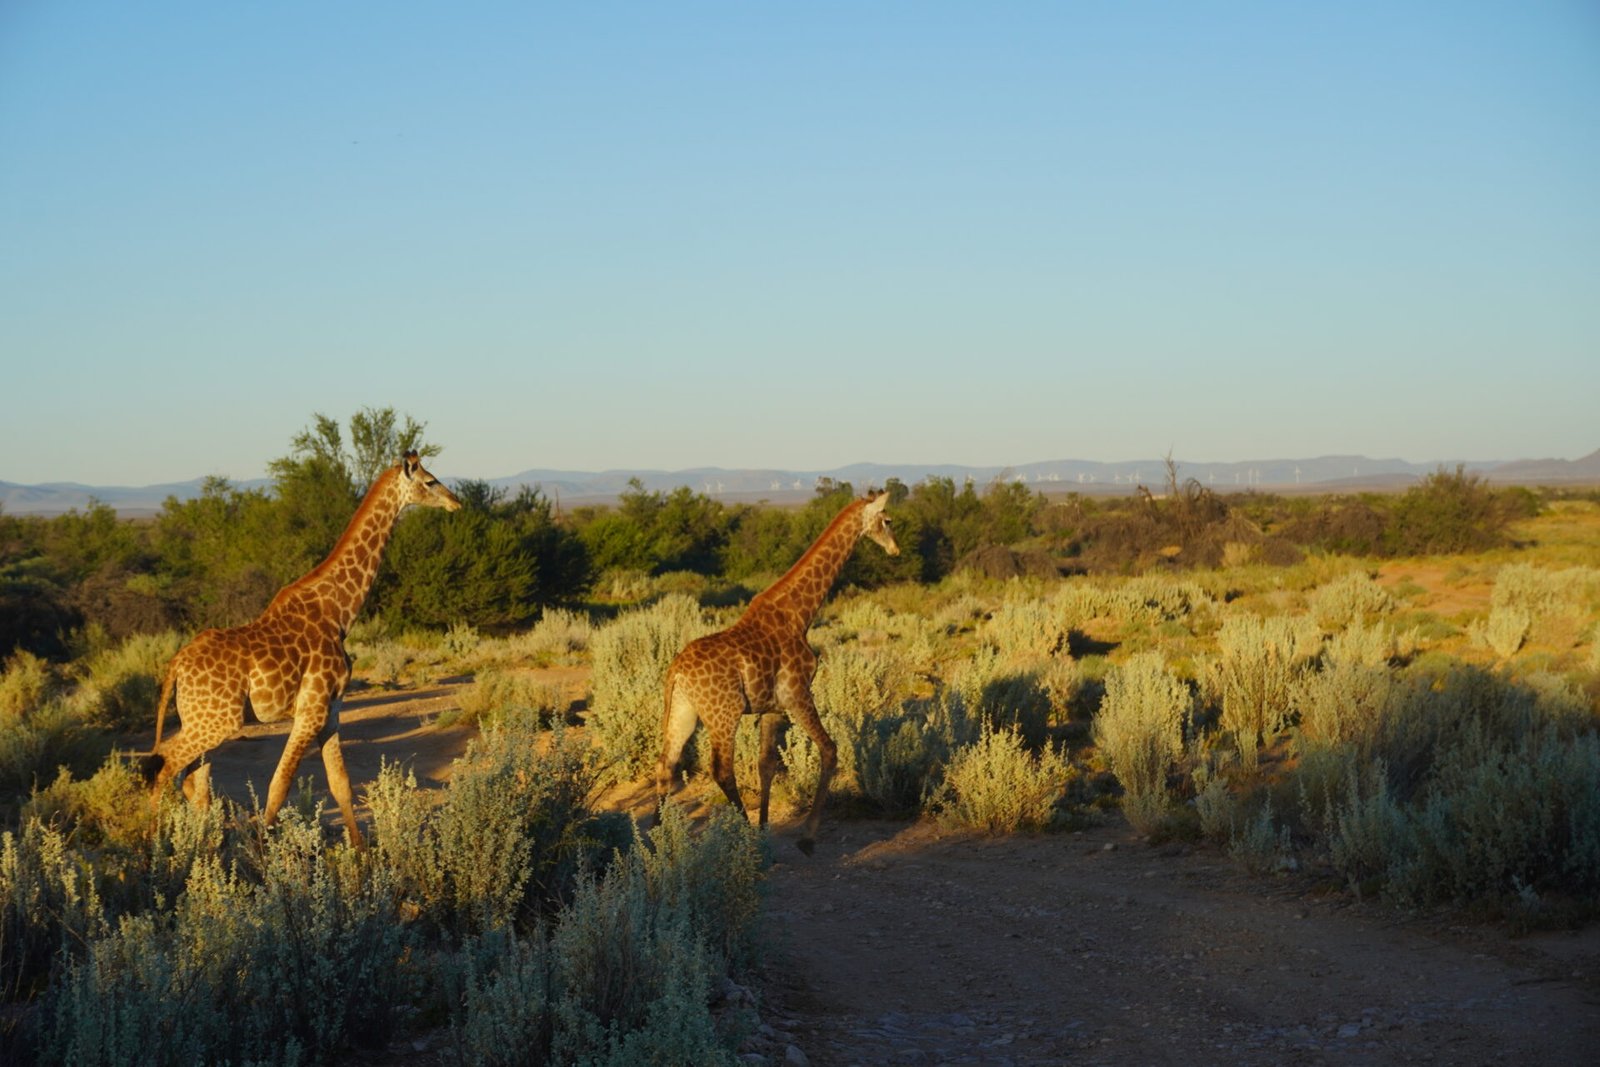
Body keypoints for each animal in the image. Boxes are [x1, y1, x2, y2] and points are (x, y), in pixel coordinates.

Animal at [147, 451, 461, 846]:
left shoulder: (332, 709)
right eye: (430, 481)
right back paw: (154, 847)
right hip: (220, 720)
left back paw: (204, 846)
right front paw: (264, 853)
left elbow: (340, 783)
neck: (339, 612)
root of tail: (175, 665)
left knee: (193, 781)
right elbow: (279, 786)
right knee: (163, 766)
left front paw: (361, 853)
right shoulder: (310, 709)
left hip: (202, 718)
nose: (456, 502)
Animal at [655, 491, 899, 855]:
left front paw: (765, 831)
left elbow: (766, 764)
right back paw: (741, 839)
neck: (800, 614)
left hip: (685, 710)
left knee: (666, 762)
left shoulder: (772, 707)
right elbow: (830, 750)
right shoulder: (798, 693)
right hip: (723, 712)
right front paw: (806, 837)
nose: (895, 549)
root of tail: (676, 671)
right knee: (720, 769)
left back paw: (655, 844)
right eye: (887, 520)